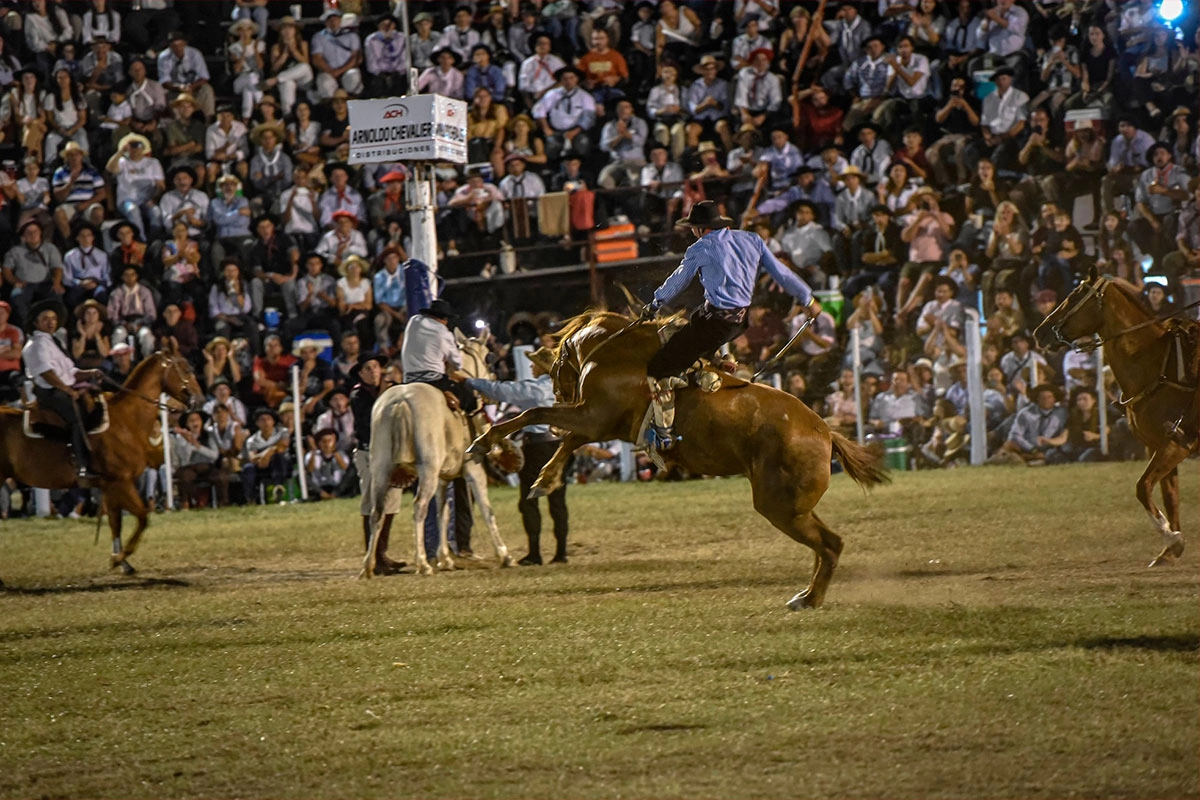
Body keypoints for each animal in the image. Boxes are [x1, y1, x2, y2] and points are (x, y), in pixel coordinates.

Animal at [0, 340, 202, 582]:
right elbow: (143, 517)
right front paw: (118, 558)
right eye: (187, 369)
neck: (126, 420)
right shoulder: (121, 483)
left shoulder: (110, 486)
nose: (199, 399)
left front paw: (123, 562)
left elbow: (116, 523)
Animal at [357, 328, 513, 578]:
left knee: (376, 512)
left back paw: (368, 567)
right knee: (419, 507)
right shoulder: (473, 470)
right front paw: (504, 555)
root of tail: (400, 402)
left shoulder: (443, 478)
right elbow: (486, 509)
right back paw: (422, 563)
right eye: (489, 357)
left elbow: (442, 511)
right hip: (426, 471)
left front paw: (445, 559)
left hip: (381, 470)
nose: (493, 394)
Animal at [468, 309, 892, 609]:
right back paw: (807, 596)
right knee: (830, 543)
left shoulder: (593, 417)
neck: (612, 352)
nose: (559, 394)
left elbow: (534, 413)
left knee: (829, 545)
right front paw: (544, 477)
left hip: (780, 506)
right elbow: (566, 439)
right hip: (795, 507)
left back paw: (810, 599)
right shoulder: (597, 424)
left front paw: (490, 445)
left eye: (556, 371)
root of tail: (825, 432)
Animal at [1032, 268, 1200, 563]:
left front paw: (1173, 539)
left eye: (1074, 295)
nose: (1039, 332)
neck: (1158, 366)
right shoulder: (1158, 447)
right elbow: (1169, 495)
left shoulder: (1177, 444)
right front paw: (1170, 549)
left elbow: (1142, 488)